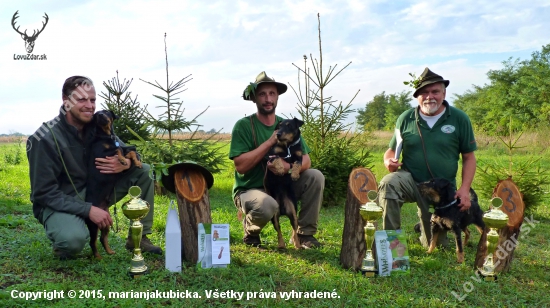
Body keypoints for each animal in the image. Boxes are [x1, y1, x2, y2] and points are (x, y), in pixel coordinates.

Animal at [85, 109, 142, 258]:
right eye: (96, 114)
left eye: (105, 112)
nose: (100, 115)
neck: (106, 135)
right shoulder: (101, 154)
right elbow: (118, 150)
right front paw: (121, 160)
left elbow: (130, 151)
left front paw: (137, 162)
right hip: (94, 225)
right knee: (92, 242)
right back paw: (98, 257)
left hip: (106, 222)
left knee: (102, 238)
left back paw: (110, 252)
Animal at [264, 116, 304, 249]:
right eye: (279, 126)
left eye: (289, 126)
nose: (278, 135)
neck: (288, 146)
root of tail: (282, 209)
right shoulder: (269, 156)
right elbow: (277, 158)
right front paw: (281, 169)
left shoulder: (299, 156)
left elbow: (297, 164)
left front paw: (295, 175)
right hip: (274, 217)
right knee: (279, 230)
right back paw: (281, 245)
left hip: (294, 213)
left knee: (294, 230)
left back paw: (297, 245)